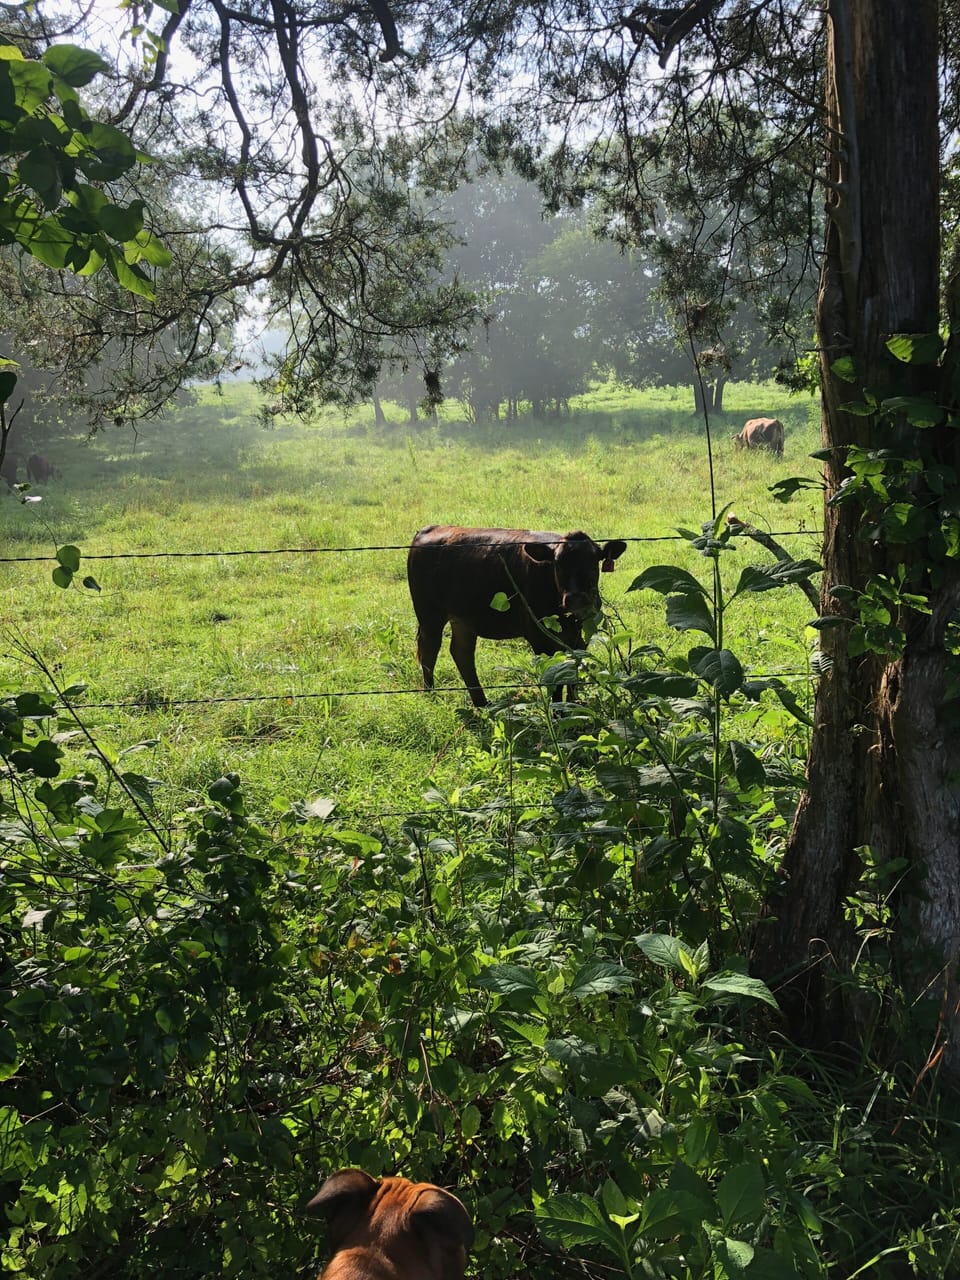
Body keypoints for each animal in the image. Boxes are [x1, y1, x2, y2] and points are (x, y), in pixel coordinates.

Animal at [407, 525, 627, 708]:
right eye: (558, 564)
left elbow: (573, 670)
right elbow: (554, 676)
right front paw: (559, 711)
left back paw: (482, 702)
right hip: (429, 614)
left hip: (463, 618)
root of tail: (431, 529)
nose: (576, 599)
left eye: (593, 563)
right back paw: (430, 694)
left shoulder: (579, 636)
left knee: (461, 652)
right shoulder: (539, 636)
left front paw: (574, 704)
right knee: (430, 649)